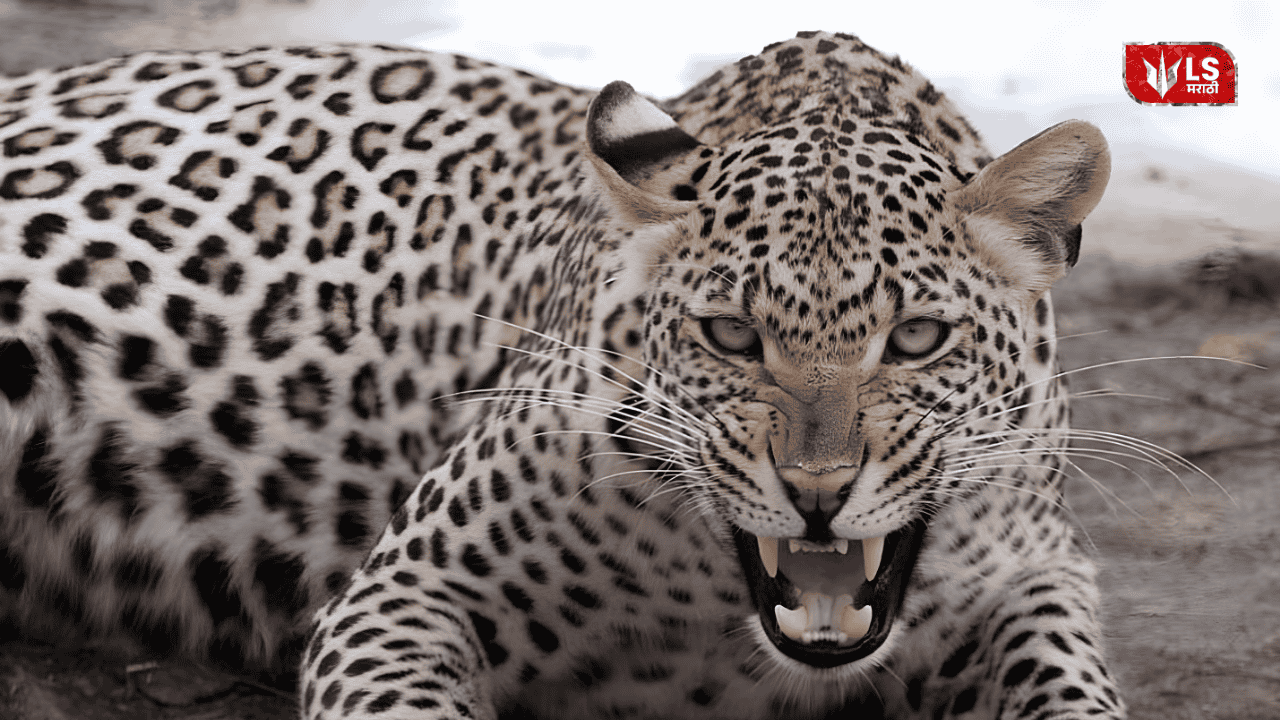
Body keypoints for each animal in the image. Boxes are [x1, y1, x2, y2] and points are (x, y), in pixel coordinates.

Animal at [0, 30, 1119, 719]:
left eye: (917, 337)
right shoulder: (406, 593)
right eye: (730, 335)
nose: (816, 493)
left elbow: (1074, 691)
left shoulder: (1035, 581)